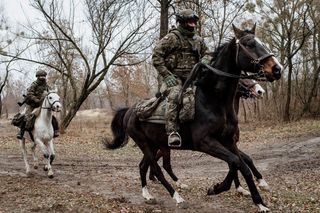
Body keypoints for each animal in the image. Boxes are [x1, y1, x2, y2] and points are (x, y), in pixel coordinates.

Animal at [105, 24, 282, 211]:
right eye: (249, 44)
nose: (277, 69)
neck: (213, 100)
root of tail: (130, 111)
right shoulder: (205, 143)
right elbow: (235, 162)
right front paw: (219, 188)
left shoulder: (228, 141)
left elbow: (242, 165)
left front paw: (258, 201)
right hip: (145, 144)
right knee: (158, 168)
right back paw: (177, 196)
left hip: (155, 145)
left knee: (143, 166)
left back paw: (148, 194)